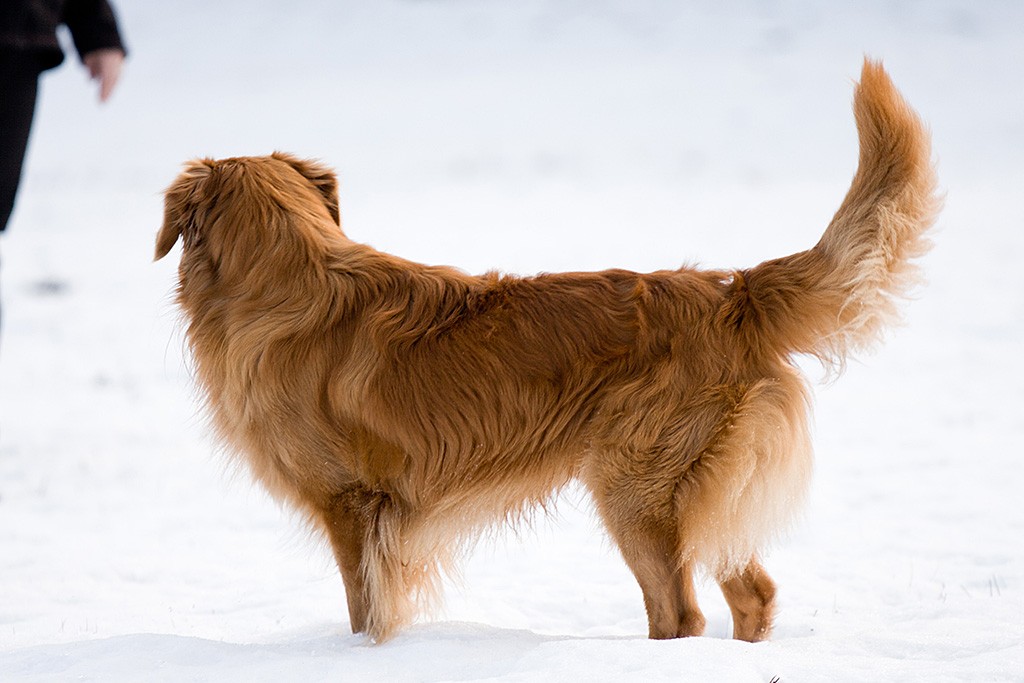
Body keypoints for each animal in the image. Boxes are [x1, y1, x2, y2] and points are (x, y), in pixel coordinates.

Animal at [157, 61, 937, 643]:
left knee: (681, 612)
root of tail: (729, 294)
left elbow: (364, 610)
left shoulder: (354, 505)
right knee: (753, 593)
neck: (290, 278)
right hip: (697, 493)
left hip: (635, 486)